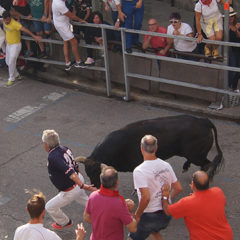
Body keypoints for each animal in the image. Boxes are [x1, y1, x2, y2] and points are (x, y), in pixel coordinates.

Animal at [76, 115, 224, 188]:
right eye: (88, 173)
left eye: (98, 173)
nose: (95, 186)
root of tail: (203, 120)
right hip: (193, 154)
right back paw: (187, 167)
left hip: (196, 155)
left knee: (207, 163)